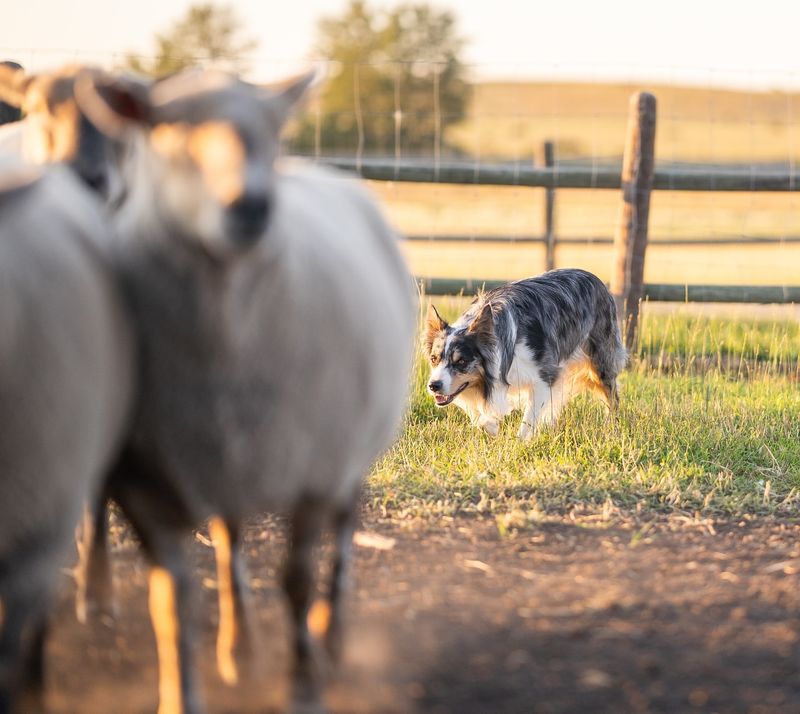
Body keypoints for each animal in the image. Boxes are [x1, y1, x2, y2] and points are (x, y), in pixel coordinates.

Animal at [76, 68, 418, 712]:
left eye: (271, 130)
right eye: (165, 128)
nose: (251, 206)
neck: (224, 338)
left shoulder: (315, 469)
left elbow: (297, 581)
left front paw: (304, 683)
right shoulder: (143, 485)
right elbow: (171, 602)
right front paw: (182, 694)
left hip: (350, 446)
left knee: (341, 540)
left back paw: (330, 638)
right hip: (227, 457)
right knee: (229, 537)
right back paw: (240, 648)